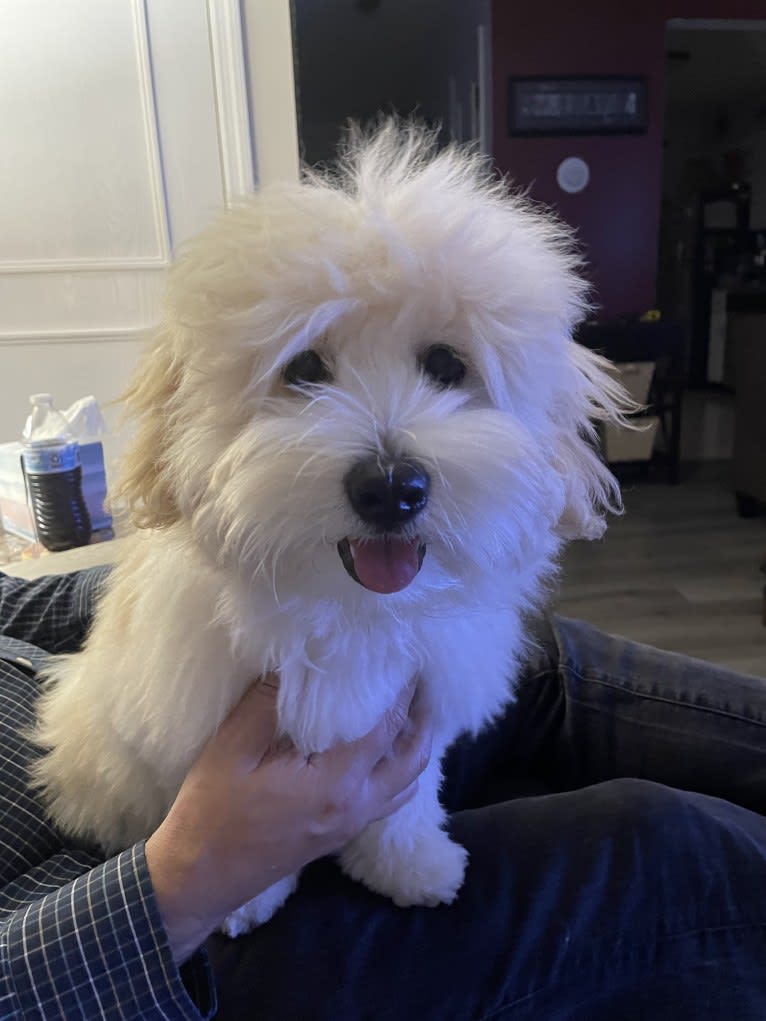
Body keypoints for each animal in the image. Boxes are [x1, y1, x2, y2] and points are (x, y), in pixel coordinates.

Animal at [32, 121, 629, 935]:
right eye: (305, 368)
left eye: (447, 365)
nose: (392, 489)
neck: (350, 610)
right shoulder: (191, 712)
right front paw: (246, 895)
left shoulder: (418, 703)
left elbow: (405, 797)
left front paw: (409, 862)